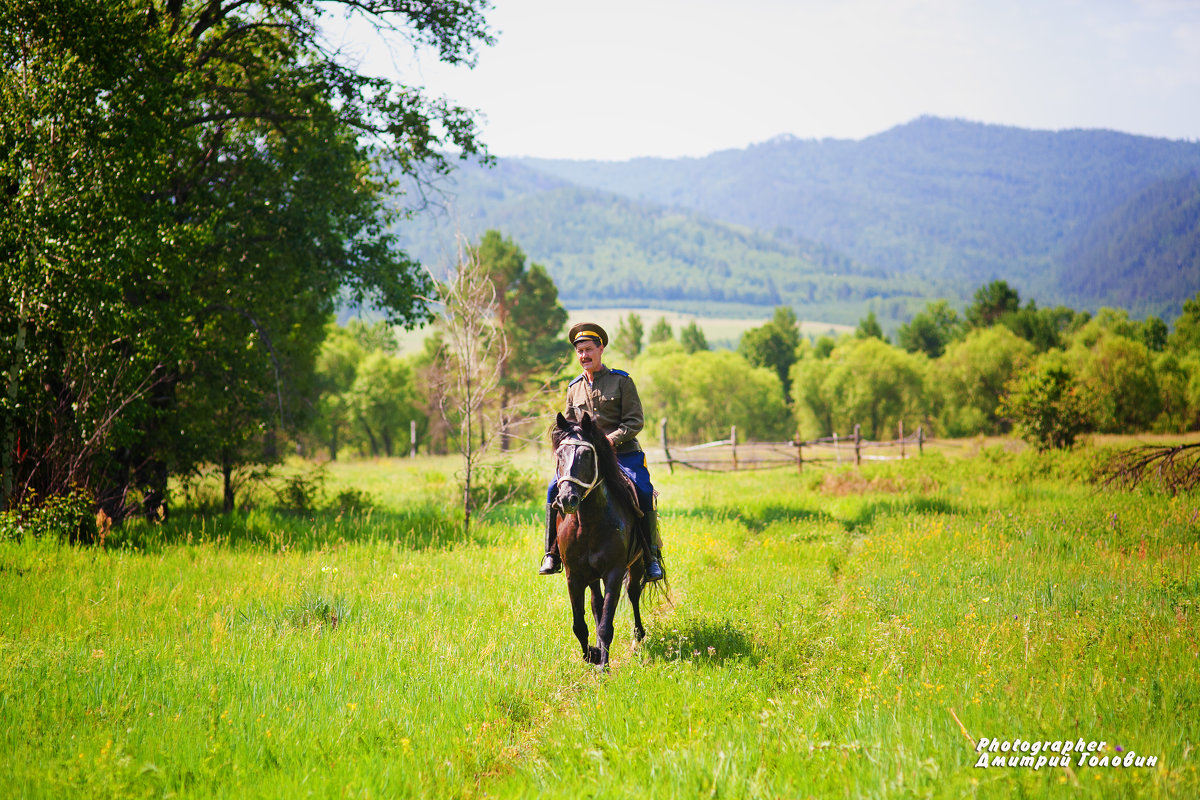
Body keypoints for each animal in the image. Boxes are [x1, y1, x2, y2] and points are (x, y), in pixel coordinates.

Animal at [549, 412, 648, 671]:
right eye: (560, 454)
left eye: (586, 454)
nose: (566, 499)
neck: (588, 524)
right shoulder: (574, 576)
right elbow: (580, 624)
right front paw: (591, 654)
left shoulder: (613, 573)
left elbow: (606, 623)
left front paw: (603, 665)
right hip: (591, 576)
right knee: (596, 603)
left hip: (638, 564)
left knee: (633, 594)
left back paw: (638, 637)